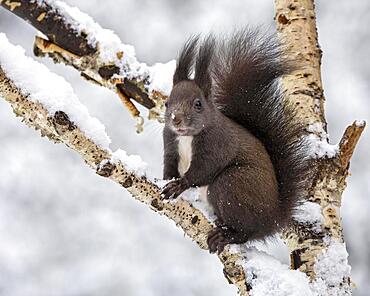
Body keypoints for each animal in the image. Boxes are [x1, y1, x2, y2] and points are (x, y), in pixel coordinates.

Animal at [160, 28, 308, 254]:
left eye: (198, 104)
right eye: (167, 103)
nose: (176, 119)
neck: (186, 137)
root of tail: (271, 220)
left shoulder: (217, 145)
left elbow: (203, 170)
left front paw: (180, 184)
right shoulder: (170, 143)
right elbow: (169, 164)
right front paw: (167, 180)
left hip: (232, 185)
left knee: (244, 231)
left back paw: (226, 235)